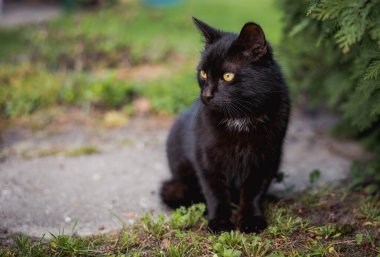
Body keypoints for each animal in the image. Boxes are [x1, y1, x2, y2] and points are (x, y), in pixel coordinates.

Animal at [159, 16, 290, 232]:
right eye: (203, 73)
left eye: (228, 76)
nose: (206, 95)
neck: (240, 117)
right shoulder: (206, 157)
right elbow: (216, 193)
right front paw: (220, 222)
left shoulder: (266, 156)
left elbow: (253, 192)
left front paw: (251, 220)